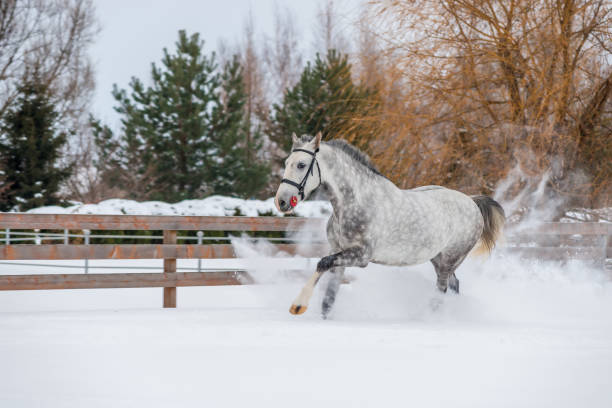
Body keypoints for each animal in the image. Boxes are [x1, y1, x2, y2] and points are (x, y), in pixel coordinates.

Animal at [274, 132, 504, 318]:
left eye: (301, 165)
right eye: (286, 162)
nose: (281, 202)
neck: (356, 201)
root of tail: (471, 201)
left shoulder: (361, 256)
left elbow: (322, 263)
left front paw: (298, 306)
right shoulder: (338, 251)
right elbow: (329, 296)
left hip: (449, 260)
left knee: (442, 289)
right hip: (438, 259)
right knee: (454, 285)